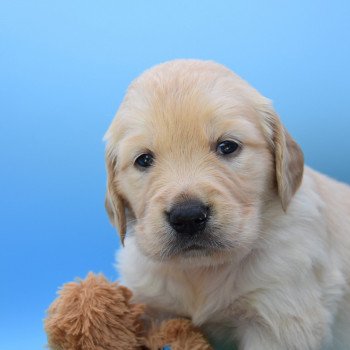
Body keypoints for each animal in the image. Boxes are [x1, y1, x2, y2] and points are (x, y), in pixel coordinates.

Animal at [104, 60, 350, 350]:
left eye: (227, 146)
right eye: (143, 160)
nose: (187, 217)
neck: (202, 270)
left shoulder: (279, 316)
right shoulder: (147, 301)